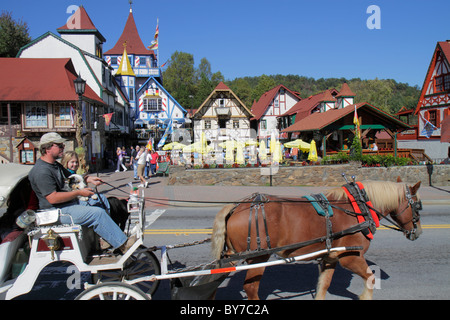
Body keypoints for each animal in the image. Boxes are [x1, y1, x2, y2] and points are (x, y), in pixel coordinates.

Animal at [211, 178, 422, 300]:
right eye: (418, 206)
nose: (418, 232)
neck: (358, 207)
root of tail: (236, 206)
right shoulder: (351, 257)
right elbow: (370, 278)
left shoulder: (330, 258)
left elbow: (324, 285)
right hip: (258, 257)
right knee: (251, 288)